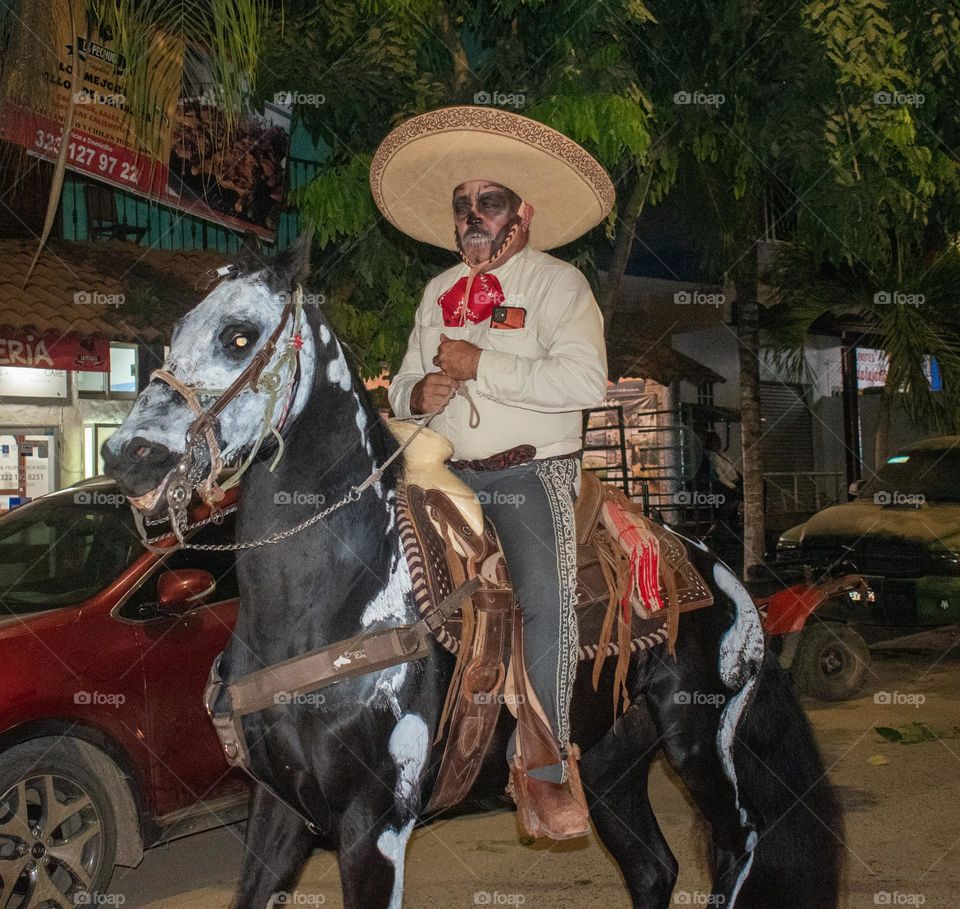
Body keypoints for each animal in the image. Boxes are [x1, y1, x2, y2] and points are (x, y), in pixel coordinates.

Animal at [101, 239, 844, 908]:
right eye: (172, 336)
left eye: (238, 335)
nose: (129, 455)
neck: (328, 607)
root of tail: (721, 573)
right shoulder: (278, 809)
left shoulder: (374, 826)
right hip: (610, 760)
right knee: (654, 868)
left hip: (701, 742)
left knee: (739, 845)